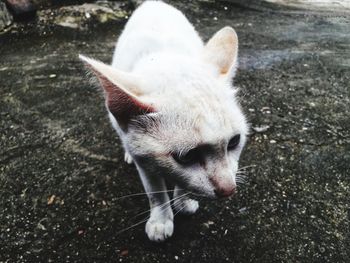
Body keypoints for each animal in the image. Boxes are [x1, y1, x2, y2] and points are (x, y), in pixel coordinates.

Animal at [79, 0, 249, 243]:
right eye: (187, 156)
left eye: (234, 142)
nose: (228, 189)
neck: (164, 57)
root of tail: (154, 3)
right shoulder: (144, 159)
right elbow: (155, 192)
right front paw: (161, 219)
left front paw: (183, 200)